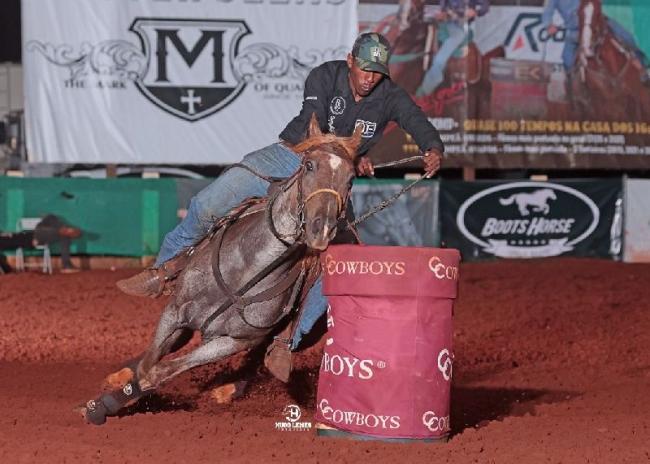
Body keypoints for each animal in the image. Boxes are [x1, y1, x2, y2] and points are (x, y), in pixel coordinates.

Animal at [82, 115, 361, 425]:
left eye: (351, 178)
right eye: (309, 165)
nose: (321, 229)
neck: (246, 271)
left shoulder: (234, 341)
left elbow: (159, 372)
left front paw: (109, 404)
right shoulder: (175, 311)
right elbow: (150, 360)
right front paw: (106, 400)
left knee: (257, 361)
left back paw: (230, 389)